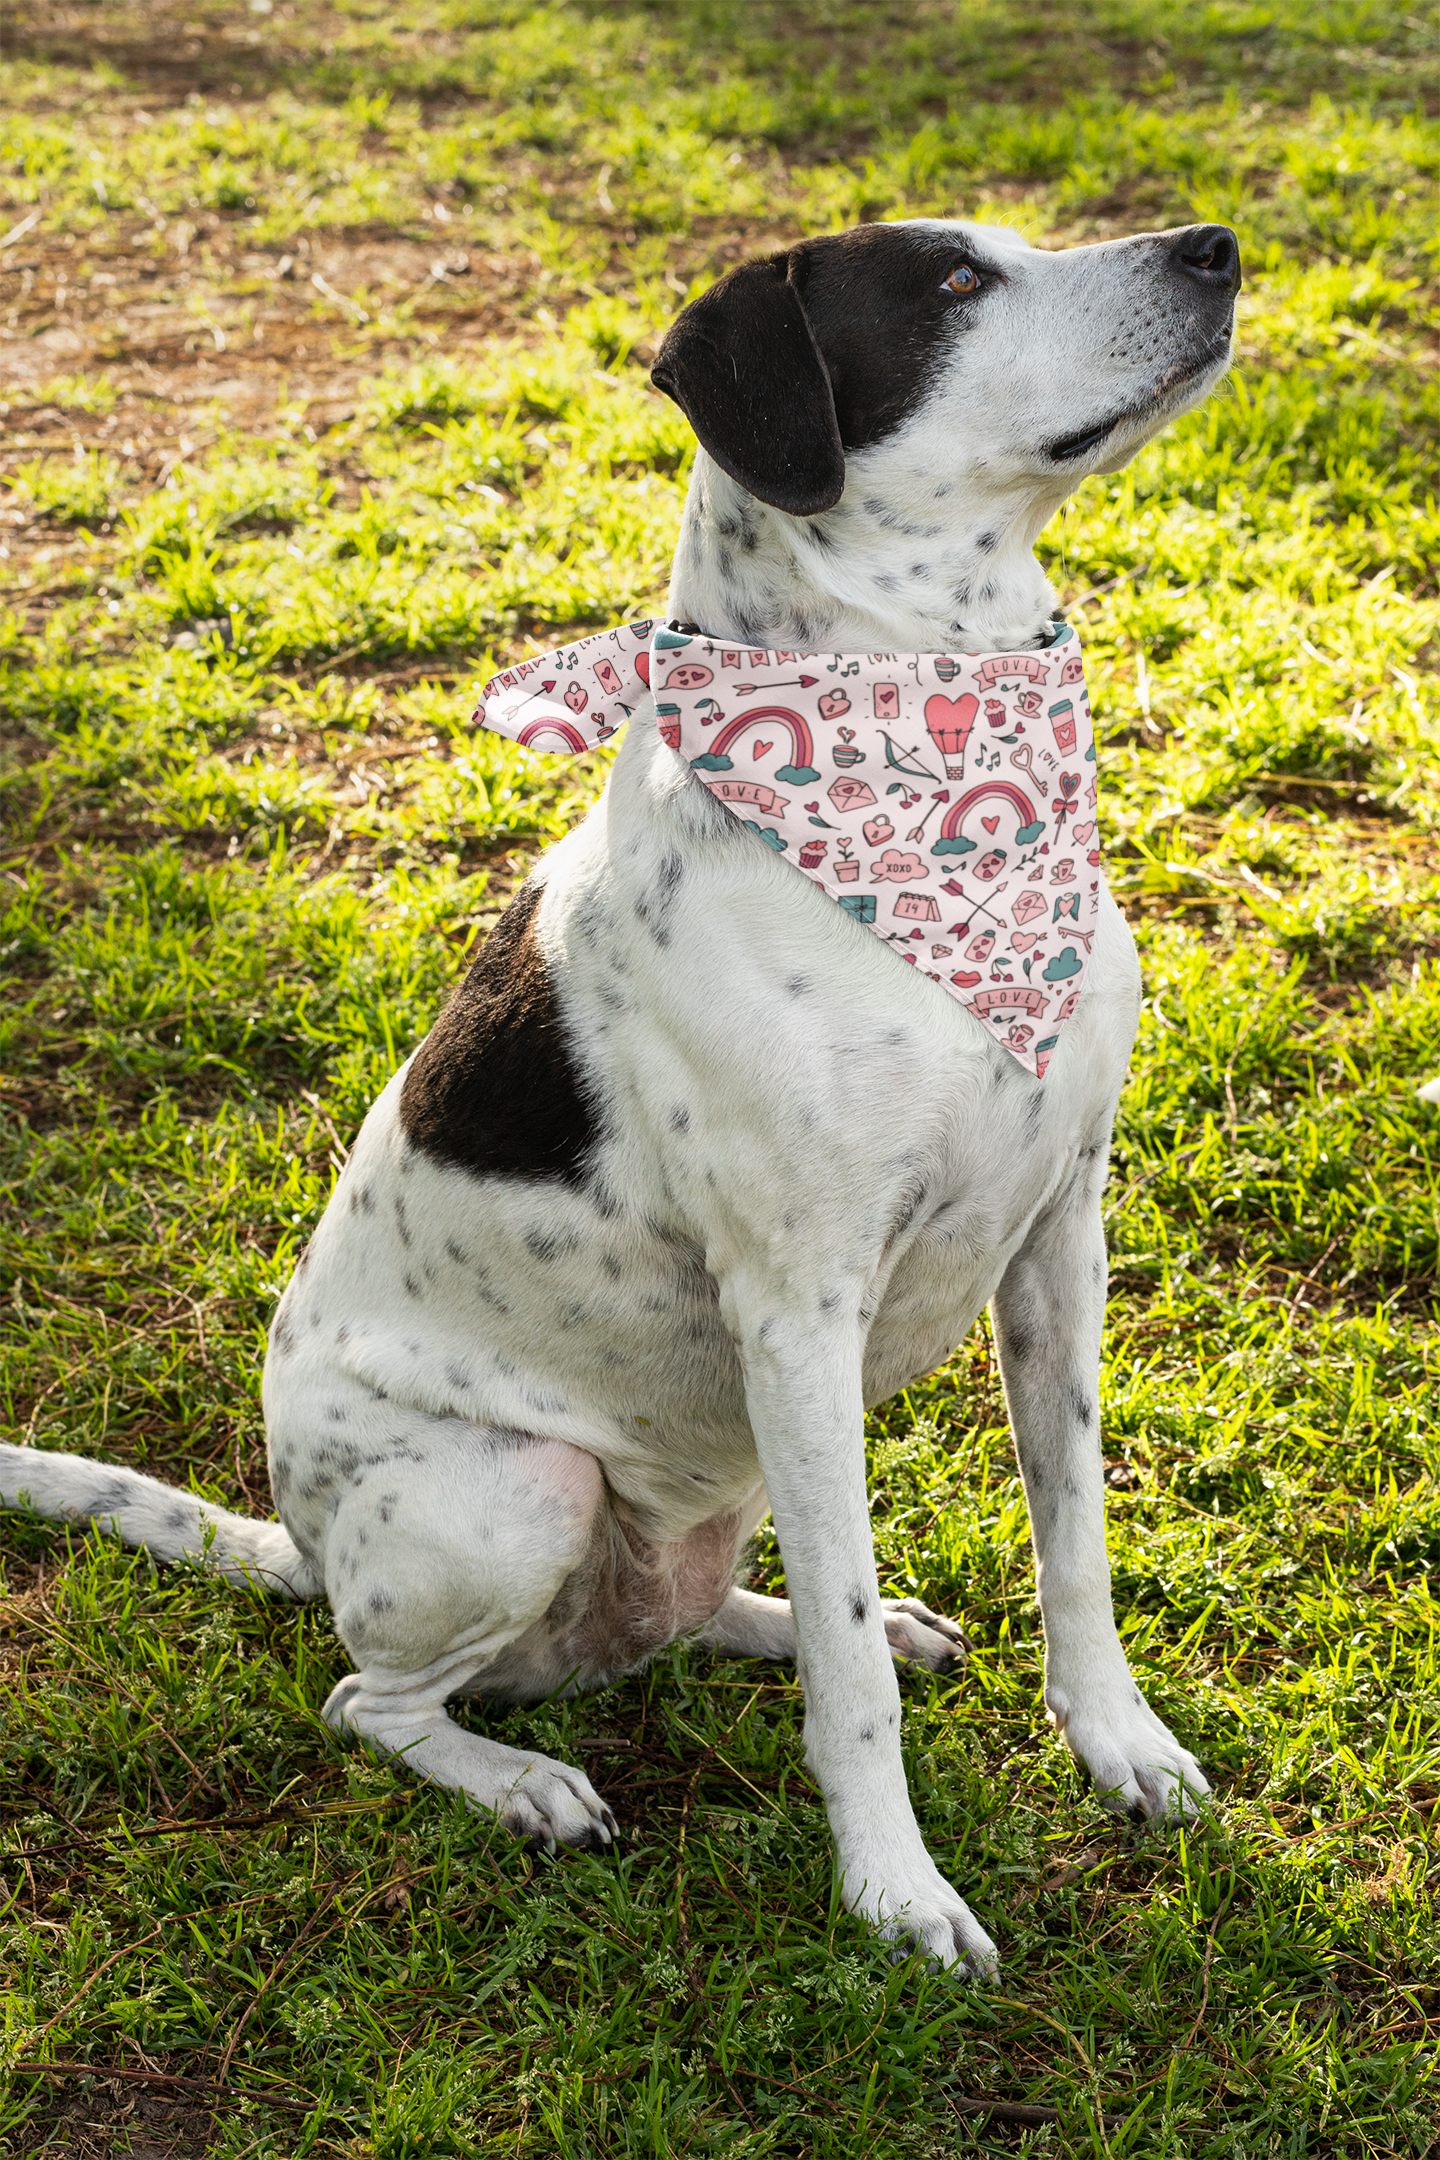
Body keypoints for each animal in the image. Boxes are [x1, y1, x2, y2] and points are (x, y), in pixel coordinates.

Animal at [0, 214, 1243, 1978]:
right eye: (950, 284)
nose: (1212, 246)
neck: (924, 758)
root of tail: (300, 1548)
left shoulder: (1059, 1234)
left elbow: (1074, 1544)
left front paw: (1118, 1746)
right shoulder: (798, 1311)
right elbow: (850, 1697)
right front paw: (895, 1894)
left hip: (700, 1487)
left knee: (697, 1608)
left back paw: (803, 1623)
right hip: (516, 1491)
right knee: (372, 1701)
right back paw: (519, 1781)